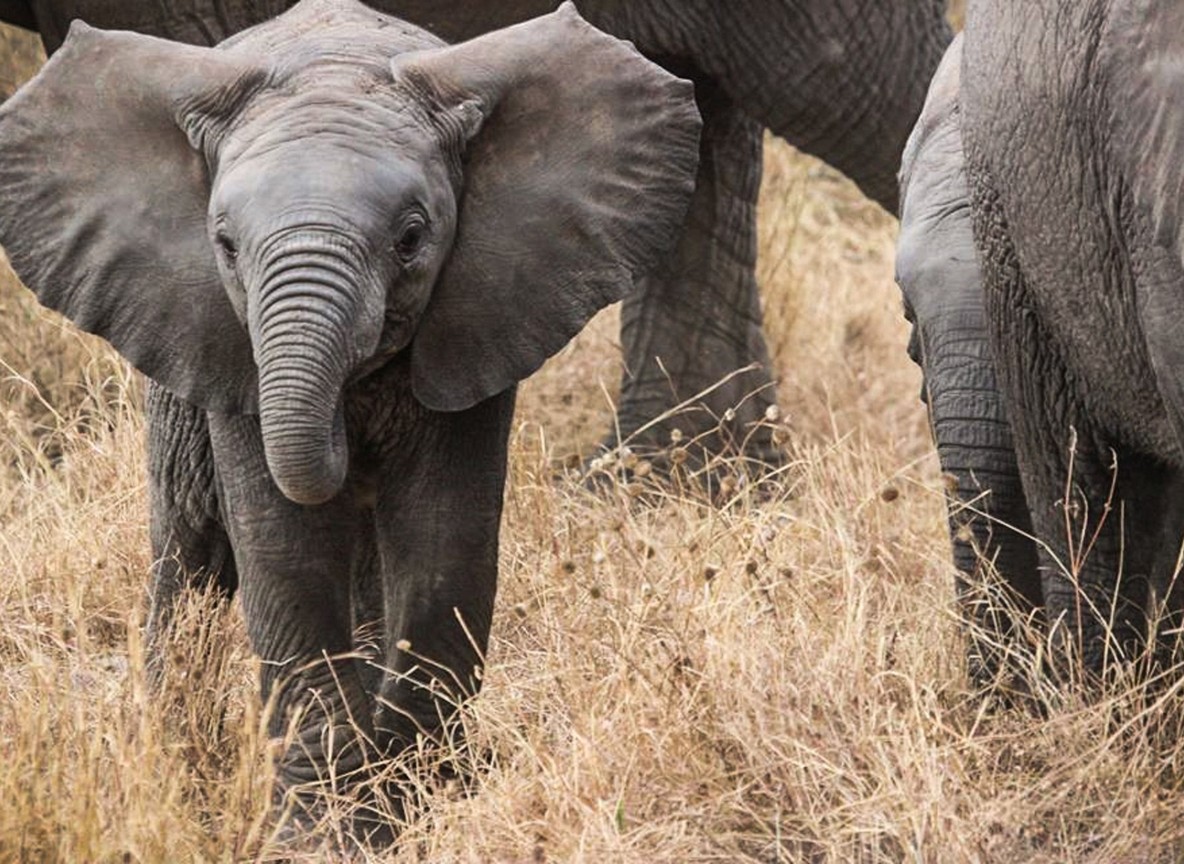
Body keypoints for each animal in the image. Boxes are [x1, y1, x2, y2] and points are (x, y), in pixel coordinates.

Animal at [0, 0, 701, 836]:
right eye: (224, 245)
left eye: (411, 239)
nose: (346, 427)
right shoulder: (228, 351)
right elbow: (286, 551)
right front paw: (324, 830)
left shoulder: (483, 315)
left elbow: (443, 542)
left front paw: (416, 806)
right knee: (191, 548)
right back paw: (178, 771)